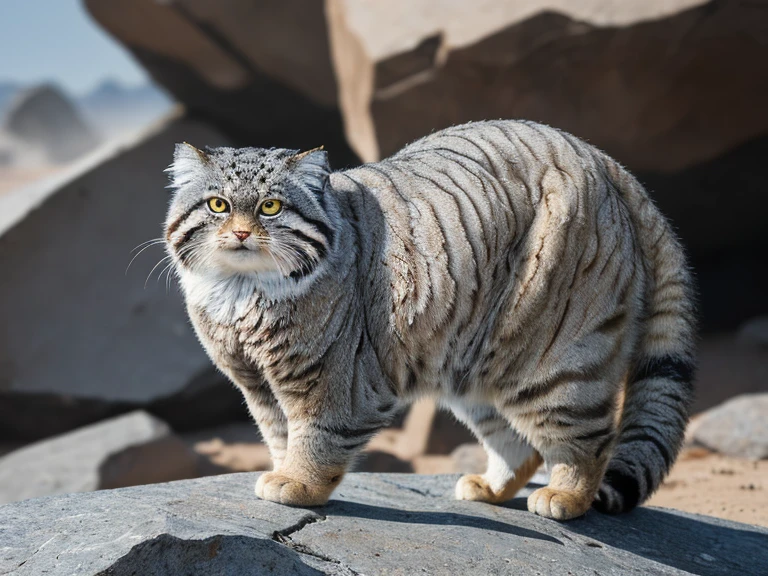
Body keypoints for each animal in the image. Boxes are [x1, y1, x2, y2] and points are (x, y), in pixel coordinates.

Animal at [164, 119, 696, 520]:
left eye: (270, 206)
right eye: (218, 204)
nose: (239, 233)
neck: (241, 295)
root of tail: (599, 156)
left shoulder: (335, 380)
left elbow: (316, 436)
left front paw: (298, 484)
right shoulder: (257, 383)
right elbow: (278, 433)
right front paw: (281, 471)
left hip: (556, 360)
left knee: (590, 438)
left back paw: (566, 496)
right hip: (472, 362)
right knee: (519, 445)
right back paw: (490, 487)